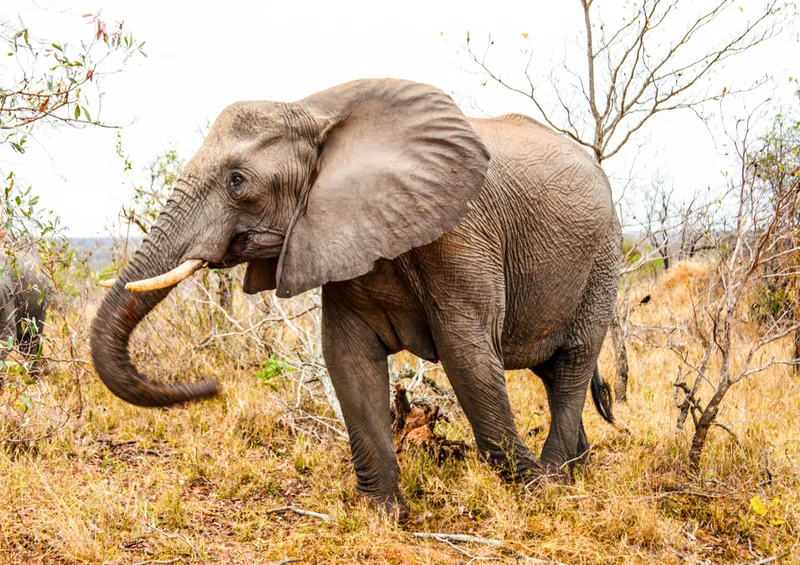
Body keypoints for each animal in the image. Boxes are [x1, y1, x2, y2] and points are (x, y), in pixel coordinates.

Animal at [90, 78, 621, 519]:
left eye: (237, 180)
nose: (211, 386)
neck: (315, 110)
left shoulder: (462, 234)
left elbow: (467, 355)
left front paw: (534, 490)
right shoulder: (337, 232)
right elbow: (348, 358)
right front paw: (386, 515)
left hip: (603, 258)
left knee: (571, 365)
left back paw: (556, 481)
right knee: (553, 373)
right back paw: (577, 473)